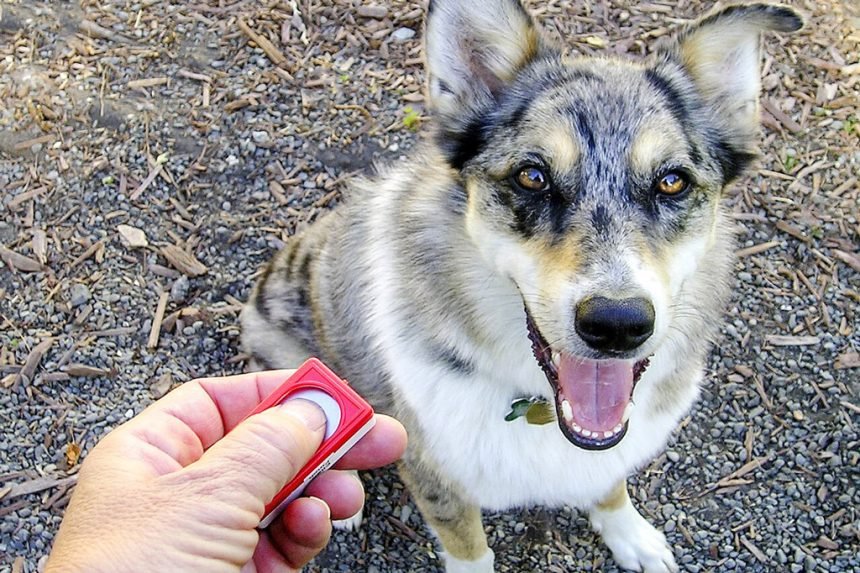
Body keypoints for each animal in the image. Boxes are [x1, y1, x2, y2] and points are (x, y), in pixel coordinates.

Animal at [239, 2, 804, 568]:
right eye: (532, 176)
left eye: (672, 182)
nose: (617, 325)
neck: (542, 409)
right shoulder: (433, 471)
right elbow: (469, 548)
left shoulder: (605, 452)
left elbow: (610, 484)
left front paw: (632, 536)